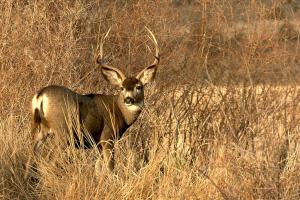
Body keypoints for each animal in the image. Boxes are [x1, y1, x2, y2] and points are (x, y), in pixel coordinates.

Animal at [29, 27, 159, 173]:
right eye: (121, 88)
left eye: (139, 87)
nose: (128, 99)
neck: (121, 113)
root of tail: (41, 95)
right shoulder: (107, 138)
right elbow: (110, 167)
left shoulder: (98, 144)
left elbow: (98, 168)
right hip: (63, 130)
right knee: (50, 161)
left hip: (40, 129)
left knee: (31, 157)